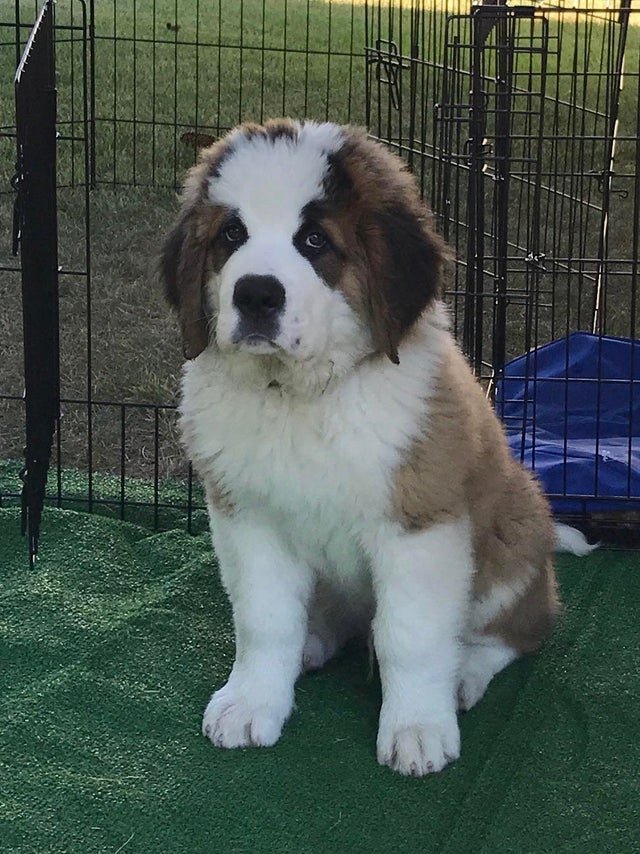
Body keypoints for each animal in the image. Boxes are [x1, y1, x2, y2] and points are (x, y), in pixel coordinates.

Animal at [159, 117, 560, 780]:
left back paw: (464, 673)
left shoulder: (418, 525)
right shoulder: (249, 517)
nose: (256, 296)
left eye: (315, 240)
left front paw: (417, 727)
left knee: (517, 630)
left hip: (514, 537)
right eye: (232, 234)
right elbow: (265, 619)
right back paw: (313, 643)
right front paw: (253, 700)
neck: (302, 398)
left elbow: (411, 635)